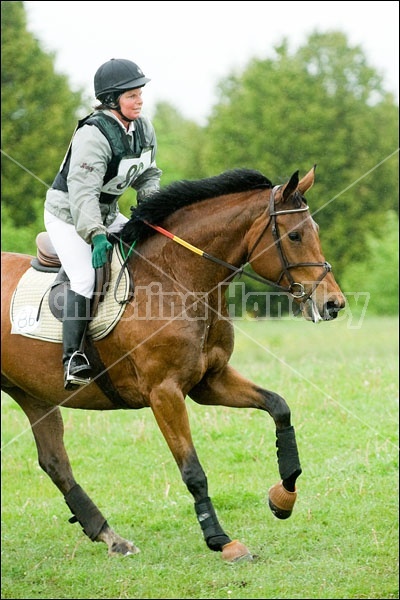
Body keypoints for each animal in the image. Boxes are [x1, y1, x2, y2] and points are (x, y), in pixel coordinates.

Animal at [0, 165, 346, 564]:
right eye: (294, 235)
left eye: (314, 230)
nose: (334, 303)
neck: (177, 279)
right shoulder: (164, 393)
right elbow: (193, 470)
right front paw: (221, 540)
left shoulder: (210, 381)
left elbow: (279, 407)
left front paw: (283, 497)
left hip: (32, 394)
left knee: (55, 462)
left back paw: (111, 537)